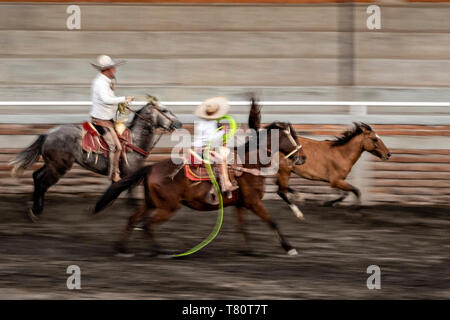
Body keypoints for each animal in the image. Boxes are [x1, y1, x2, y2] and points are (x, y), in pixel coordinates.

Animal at [9, 99, 181, 221]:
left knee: (36, 176)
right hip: (58, 167)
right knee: (42, 182)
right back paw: (36, 211)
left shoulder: (122, 176)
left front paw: (98, 207)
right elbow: (127, 195)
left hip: (51, 164)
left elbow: (114, 191)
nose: (178, 123)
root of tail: (48, 134)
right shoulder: (128, 174)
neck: (134, 141)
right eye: (164, 110)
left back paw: (34, 207)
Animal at [94, 99, 306, 256]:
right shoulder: (253, 202)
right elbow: (272, 221)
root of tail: (151, 167)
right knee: (147, 225)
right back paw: (160, 251)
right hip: (168, 207)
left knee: (133, 219)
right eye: (292, 136)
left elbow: (242, 226)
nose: (302, 157)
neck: (249, 164)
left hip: (150, 202)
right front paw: (290, 248)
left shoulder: (240, 204)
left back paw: (121, 249)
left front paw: (246, 250)